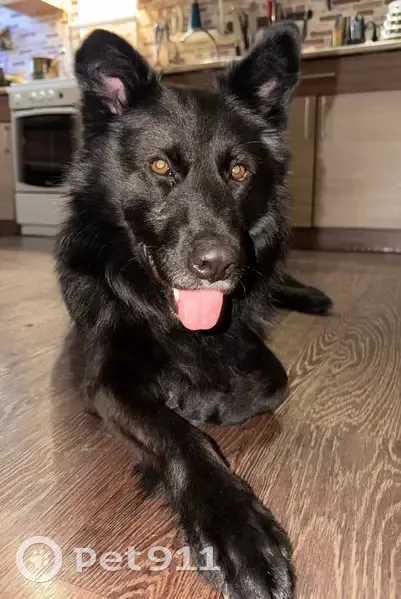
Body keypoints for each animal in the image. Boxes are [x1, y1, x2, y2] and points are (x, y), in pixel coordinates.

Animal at [55, 23, 332, 599]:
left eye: (240, 171)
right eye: (160, 166)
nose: (219, 264)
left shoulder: (240, 336)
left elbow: (272, 382)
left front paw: (204, 402)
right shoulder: (105, 379)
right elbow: (178, 435)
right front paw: (234, 528)